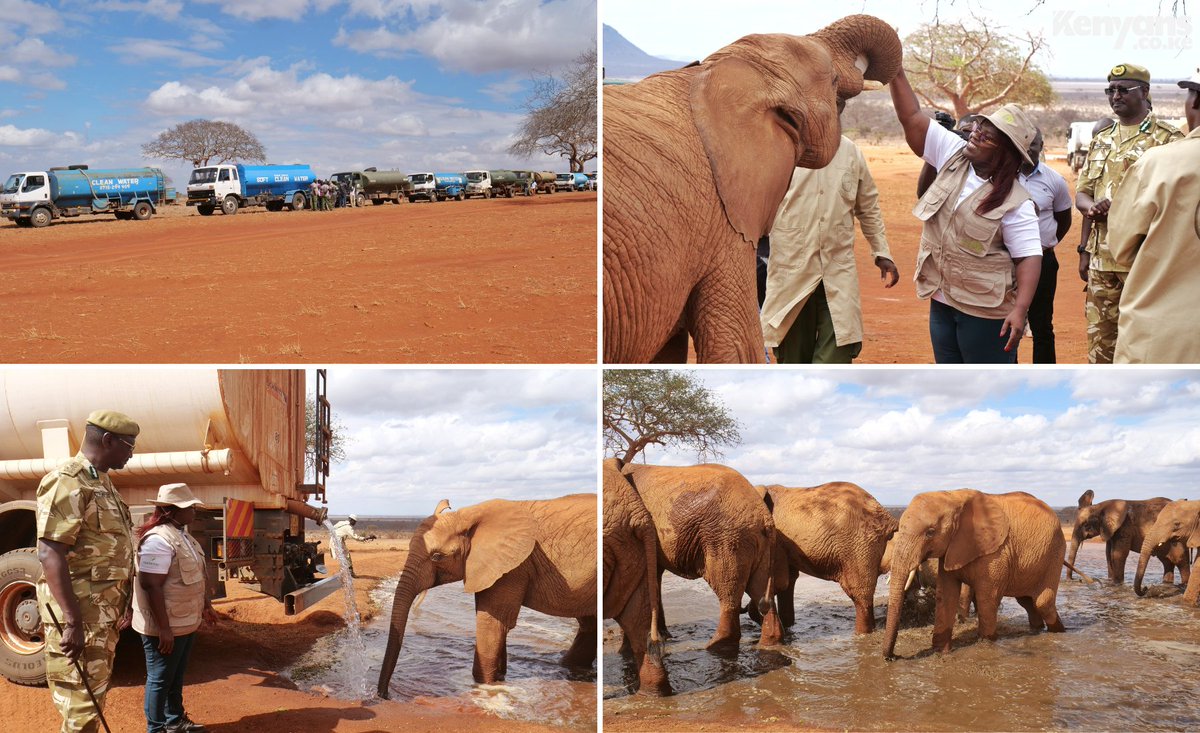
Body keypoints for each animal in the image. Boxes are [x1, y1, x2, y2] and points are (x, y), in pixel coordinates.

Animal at [376, 494, 597, 698]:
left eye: (437, 557)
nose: (384, 695)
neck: (466, 515)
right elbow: (497, 624)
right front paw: (499, 678)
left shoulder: (513, 567)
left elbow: (492, 623)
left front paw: (485, 685)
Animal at [621, 462, 781, 651]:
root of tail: (765, 516)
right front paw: (663, 636)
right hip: (757, 543)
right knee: (760, 589)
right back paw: (768, 643)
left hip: (726, 538)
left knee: (727, 589)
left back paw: (714, 646)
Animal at [757, 482, 898, 633]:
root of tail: (887, 517)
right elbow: (788, 580)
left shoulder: (775, 539)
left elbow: (779, 580)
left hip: (858, 546)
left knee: (860, 594)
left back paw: (862, 633)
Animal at [882, 490, 1066, 659]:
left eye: (930, 532)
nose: (893, 657)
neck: (953, 496)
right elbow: (946, 594)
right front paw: (940, 652)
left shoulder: (995, 553)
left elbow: (987, 598)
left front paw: (986, 644)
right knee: (1027, 602)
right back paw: (1037, 630)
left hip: (1055, 552)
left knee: (1043, 602)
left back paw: (1060, 633)